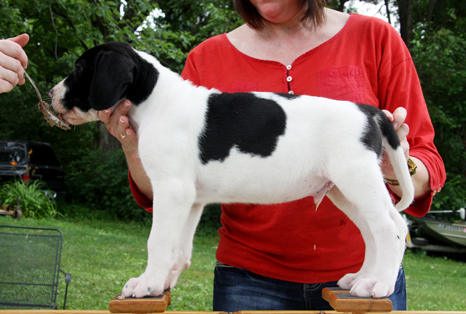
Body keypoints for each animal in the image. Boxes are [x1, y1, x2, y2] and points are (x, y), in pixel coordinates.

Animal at [51, 42, 414, 300]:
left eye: (79, 68)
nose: (51, 94)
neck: (155, 100)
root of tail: (369, 112)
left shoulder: (171, 190)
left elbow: (159, 241)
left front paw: (147, 284)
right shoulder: (190, 200)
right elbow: (179, 248)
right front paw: (165, 281)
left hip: (358, 180)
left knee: (391, 228)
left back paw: (378, 285)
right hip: (343, 190)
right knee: (372, 232)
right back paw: (363, 278)